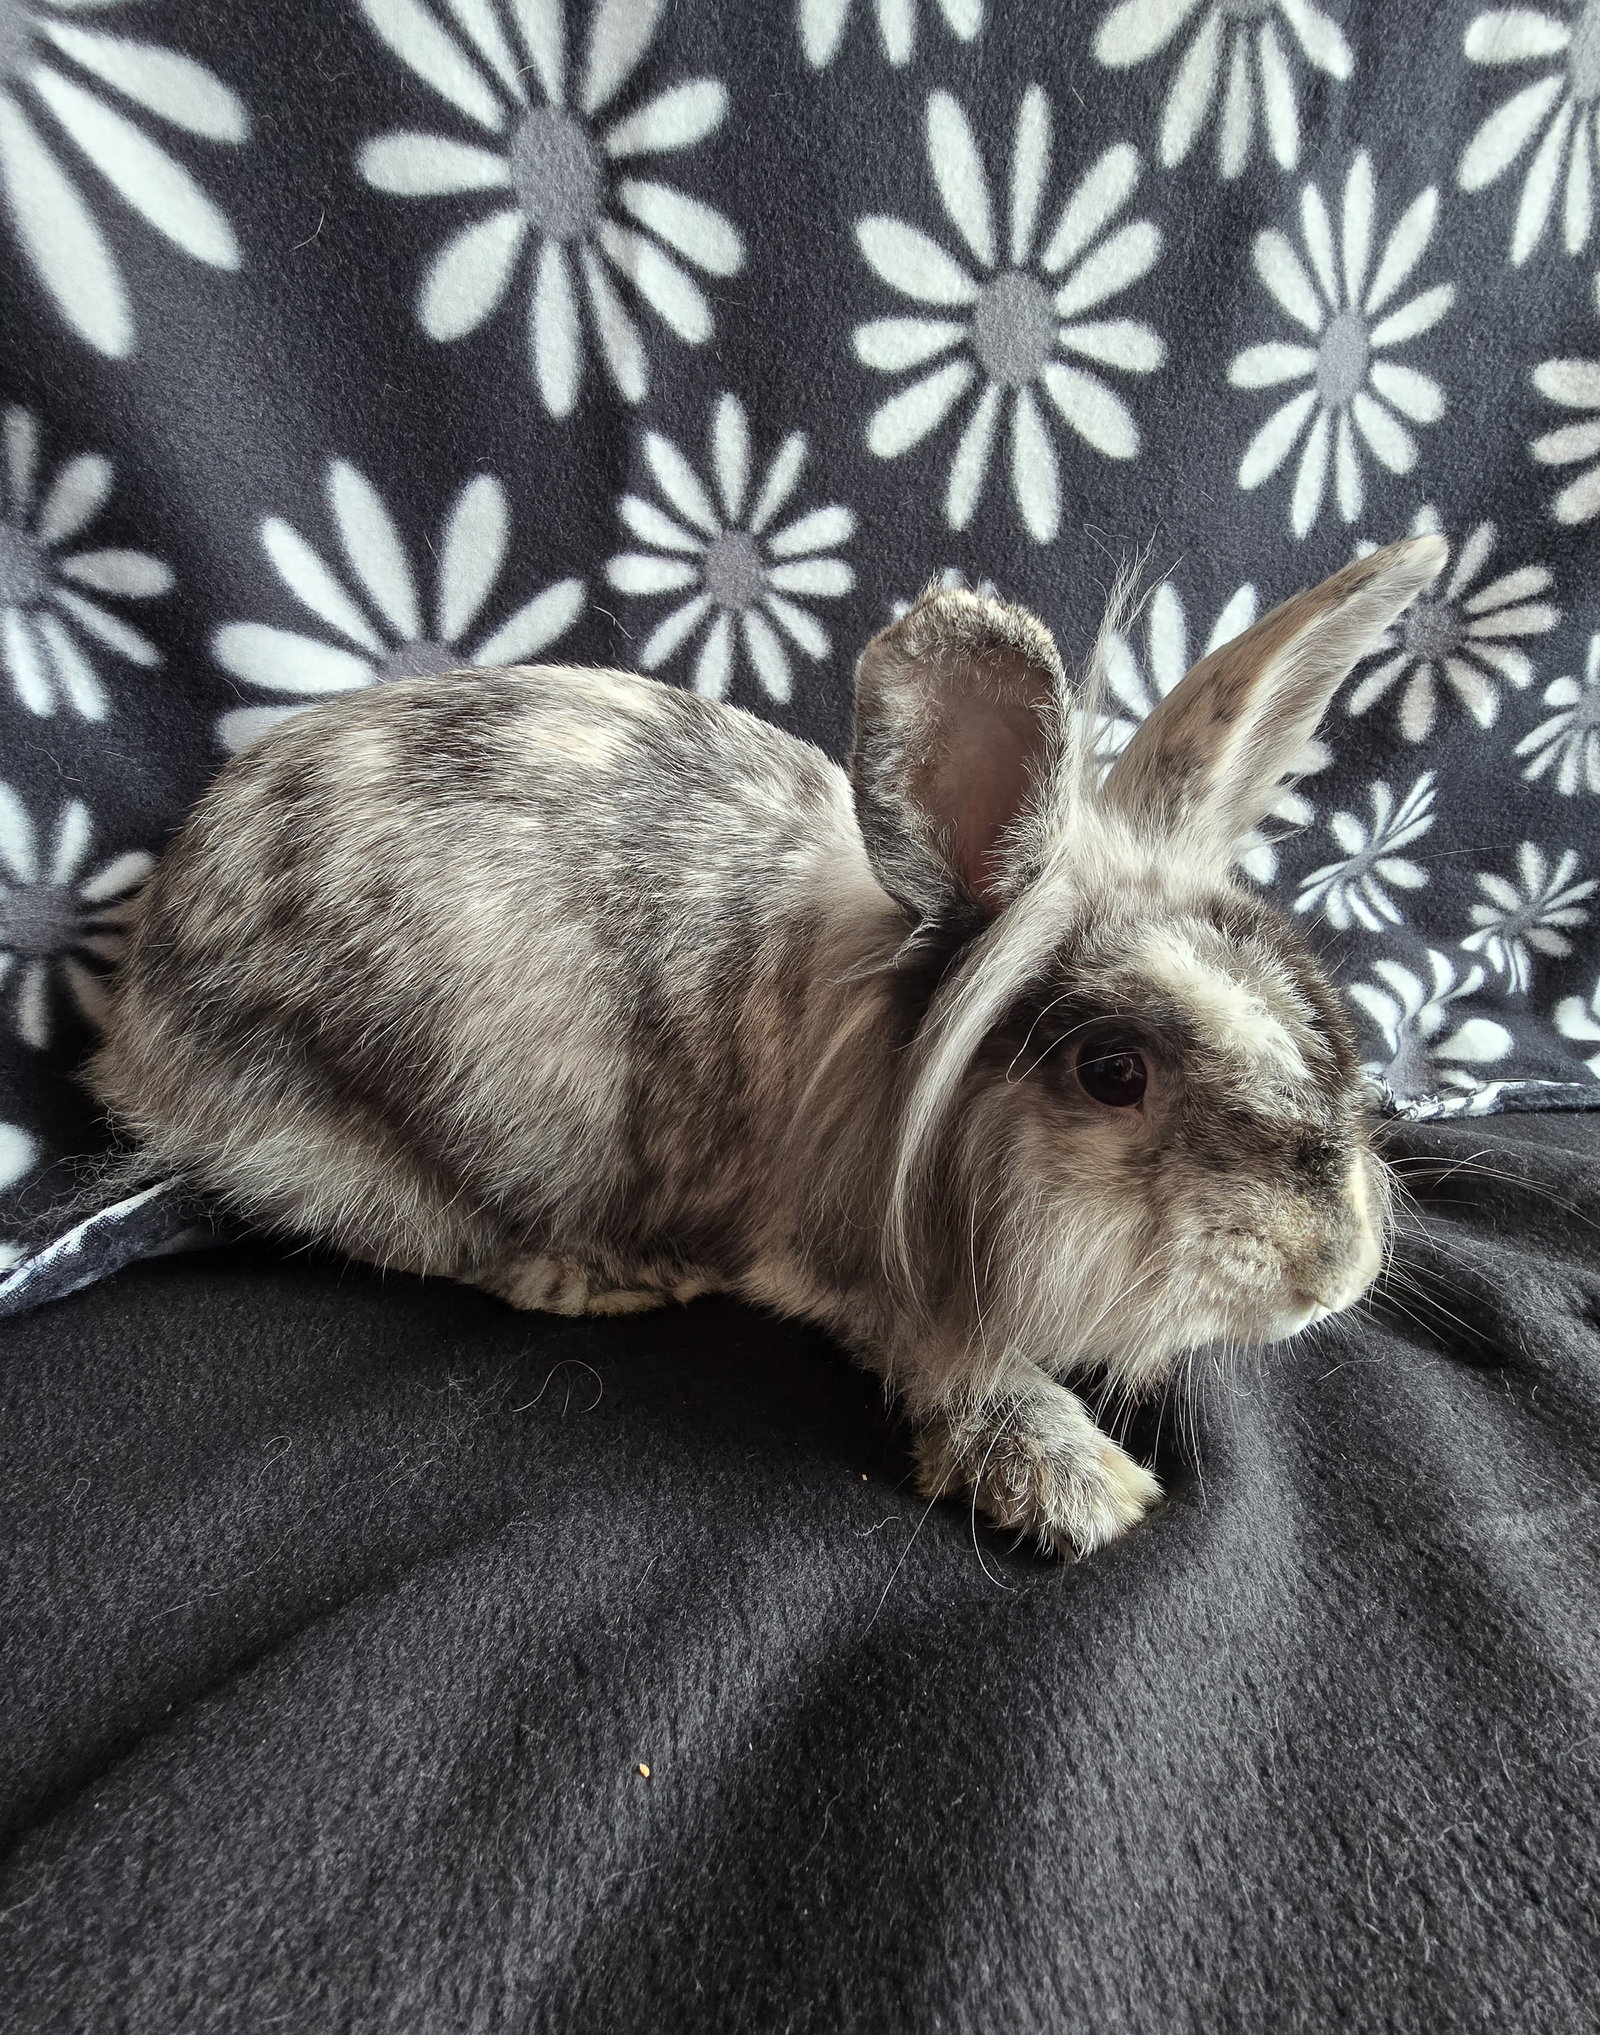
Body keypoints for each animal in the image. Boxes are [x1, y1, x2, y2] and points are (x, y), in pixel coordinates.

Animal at [87, 534, 1446, 1558]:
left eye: (1322, 1008)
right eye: (1111, 1072)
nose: (1331, 1270)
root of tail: (135, 1011)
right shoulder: (853, 1269)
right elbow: (949, 1359)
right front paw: (1076, 1479)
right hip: (348, 1121)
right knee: (427, 1234)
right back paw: (606, 1273)